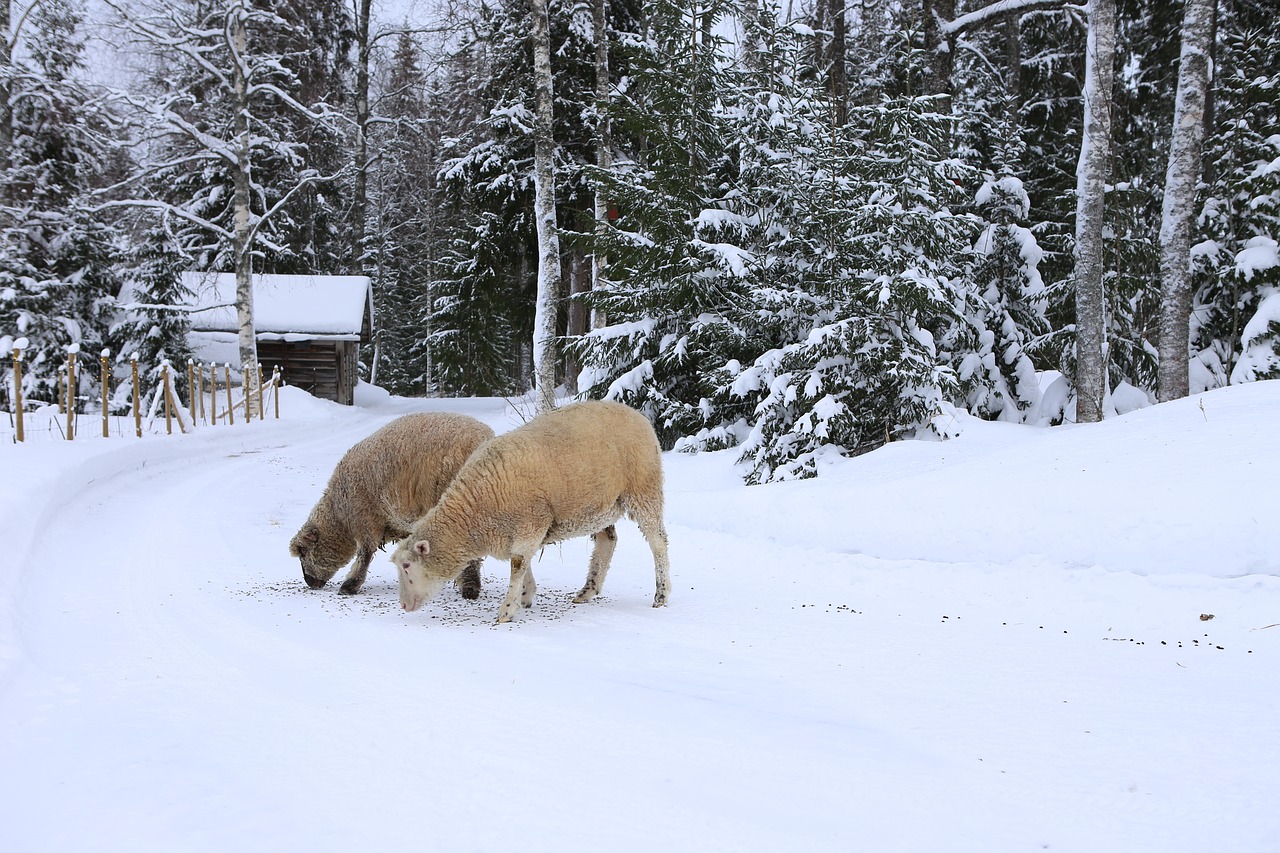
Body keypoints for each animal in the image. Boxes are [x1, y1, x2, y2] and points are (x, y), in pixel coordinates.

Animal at [291, 409, 494, 594]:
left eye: (303, 551)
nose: (309, 582)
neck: (339, 513)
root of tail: (482, 438)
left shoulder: (364, 518)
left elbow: (364, 554)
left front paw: (350, 585)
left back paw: (469, 587)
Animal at [386, 394, 670, 622]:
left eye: (407, 565)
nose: (403, 605)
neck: (475, 511)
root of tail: (637, 414)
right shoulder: (521, 529)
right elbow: (523, 562)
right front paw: (525, 595)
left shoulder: (531, 522)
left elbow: (518, 564)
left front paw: (507, 611)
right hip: (599, 506)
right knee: (607, 541)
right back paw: (587, 590)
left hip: (644, 490)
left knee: (658, 542)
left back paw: (661, 594)